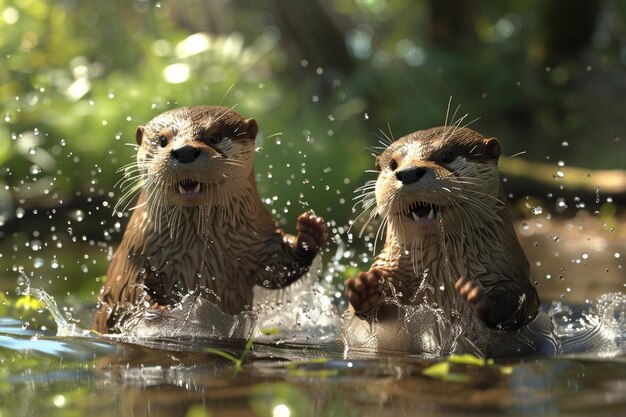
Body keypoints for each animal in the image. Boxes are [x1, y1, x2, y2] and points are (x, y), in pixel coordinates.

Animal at [94, 105, 326, 334]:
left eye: (215, 137)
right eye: (162, 140)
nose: (185, 151)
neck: (195, 249)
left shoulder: (259, 241)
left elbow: (280, 268)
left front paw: (310, 232)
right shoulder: (137, 253)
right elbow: (129, 293)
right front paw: (155, 308)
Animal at [346, 127, 536, 332]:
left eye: (446, 156)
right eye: (393, 163)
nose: (408, 173)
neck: (440, 278)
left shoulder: (510, 270)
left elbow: (516, 299)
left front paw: (477, 295)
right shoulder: (388, 265)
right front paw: (365, 289)